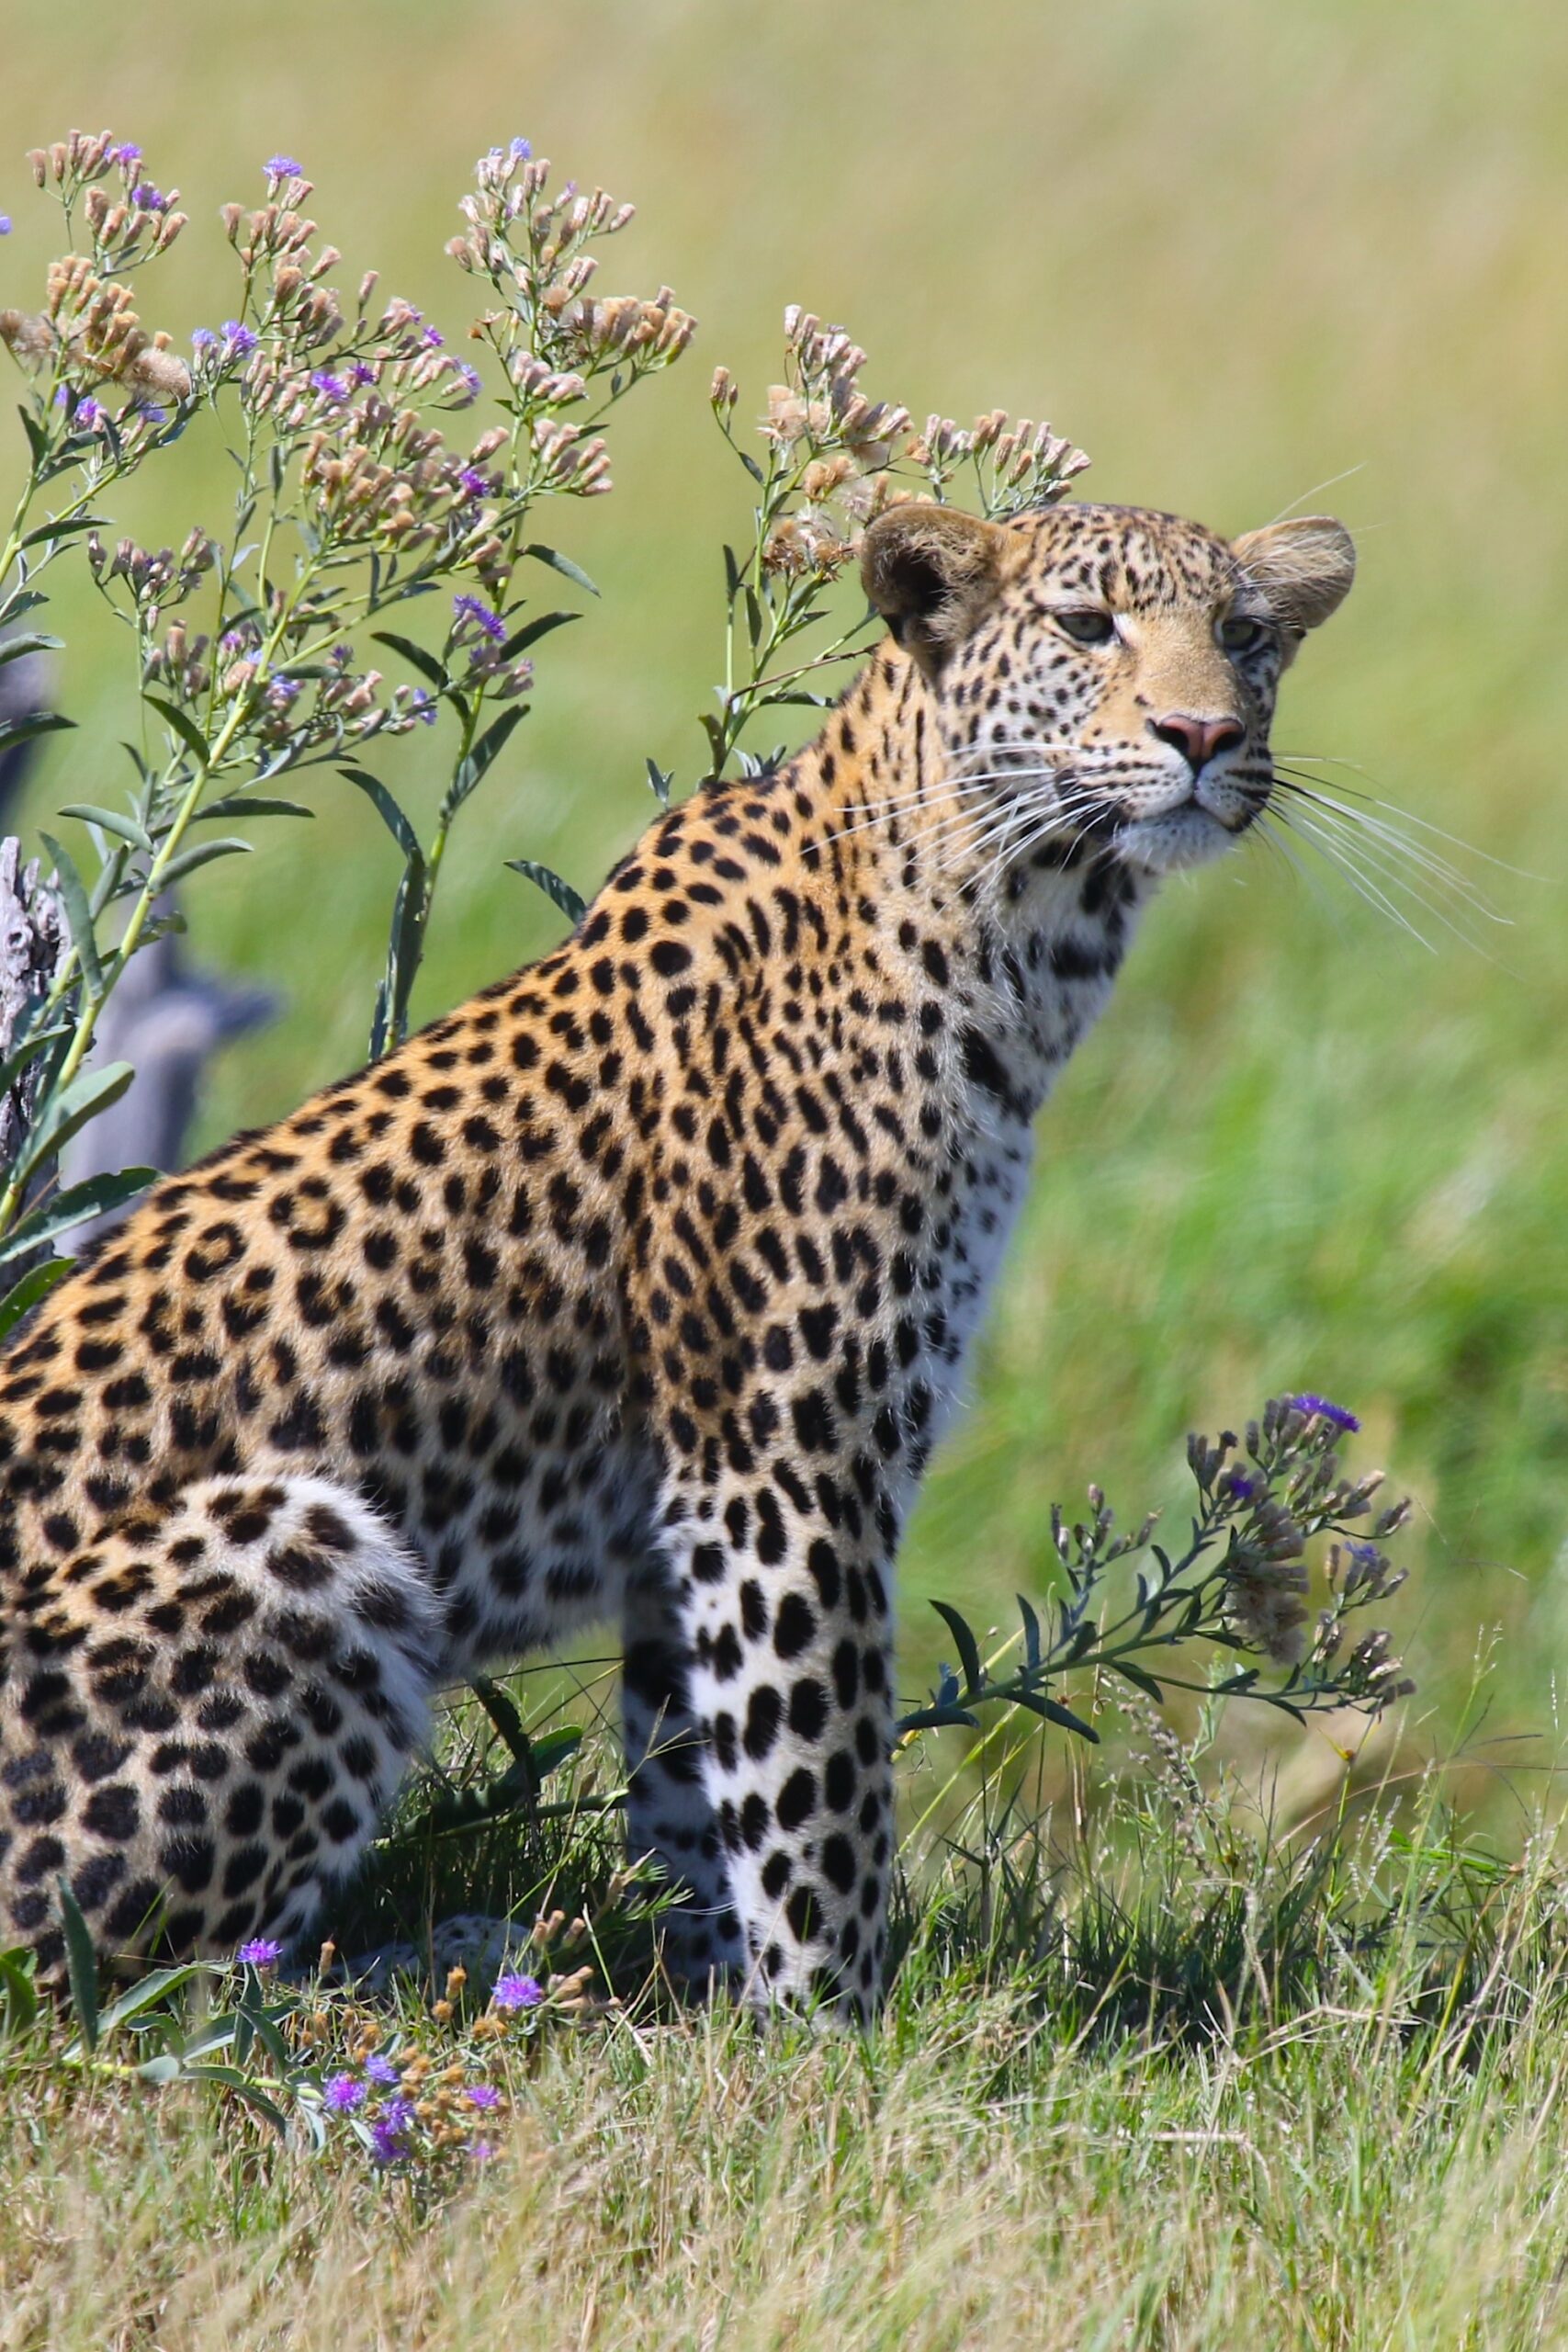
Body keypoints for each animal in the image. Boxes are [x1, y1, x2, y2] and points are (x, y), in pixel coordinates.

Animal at [0, 496, 1354, 2022]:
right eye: (1085, 627)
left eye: (1241, 634)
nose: (1202, 733)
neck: (1023, 927)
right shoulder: (789, 1461)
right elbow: (818, 1783)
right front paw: (837, 2030)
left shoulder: (693, 1515)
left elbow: (703, 1770)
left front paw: (712, 2004)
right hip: (303, 1534)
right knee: (133, 1992)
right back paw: (442, 1970)